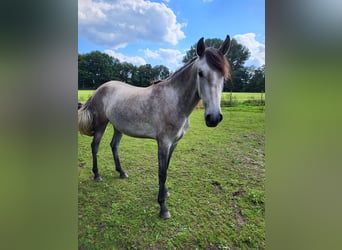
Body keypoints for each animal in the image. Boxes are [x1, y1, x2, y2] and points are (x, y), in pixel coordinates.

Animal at [79, 35, 231, 219]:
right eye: (200, 73)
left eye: (223, 75)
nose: (213, 118)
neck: (175, 101)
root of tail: (99, 89)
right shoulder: (163, 143)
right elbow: (162, 172)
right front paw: (163, 208)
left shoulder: (174, 143)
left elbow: (167, 168)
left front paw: (164, 193)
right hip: (102, 124)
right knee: (95, 146)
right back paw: (97, 175)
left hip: (118, 127)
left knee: (113, 146)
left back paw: (121, 172)